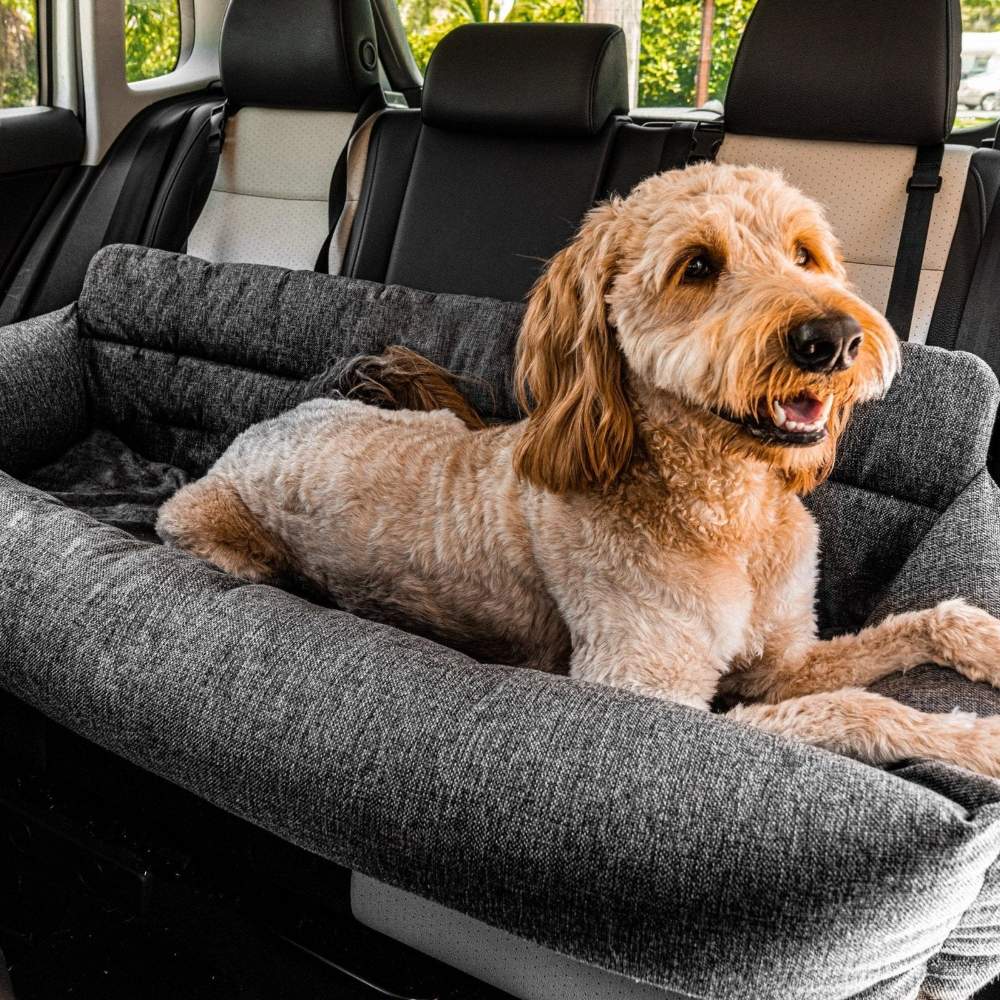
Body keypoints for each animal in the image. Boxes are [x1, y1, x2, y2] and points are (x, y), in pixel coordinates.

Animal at [156, 162, 1000, 772]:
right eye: (697, 266)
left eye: (806, 253)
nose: (833, 339)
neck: (722, 509)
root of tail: (273, 422)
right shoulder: (646, 693)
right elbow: (852, 707)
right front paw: (978, 744)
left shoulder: (780, 658)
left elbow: (913, 626)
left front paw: (985, 644)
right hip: (215, 535)